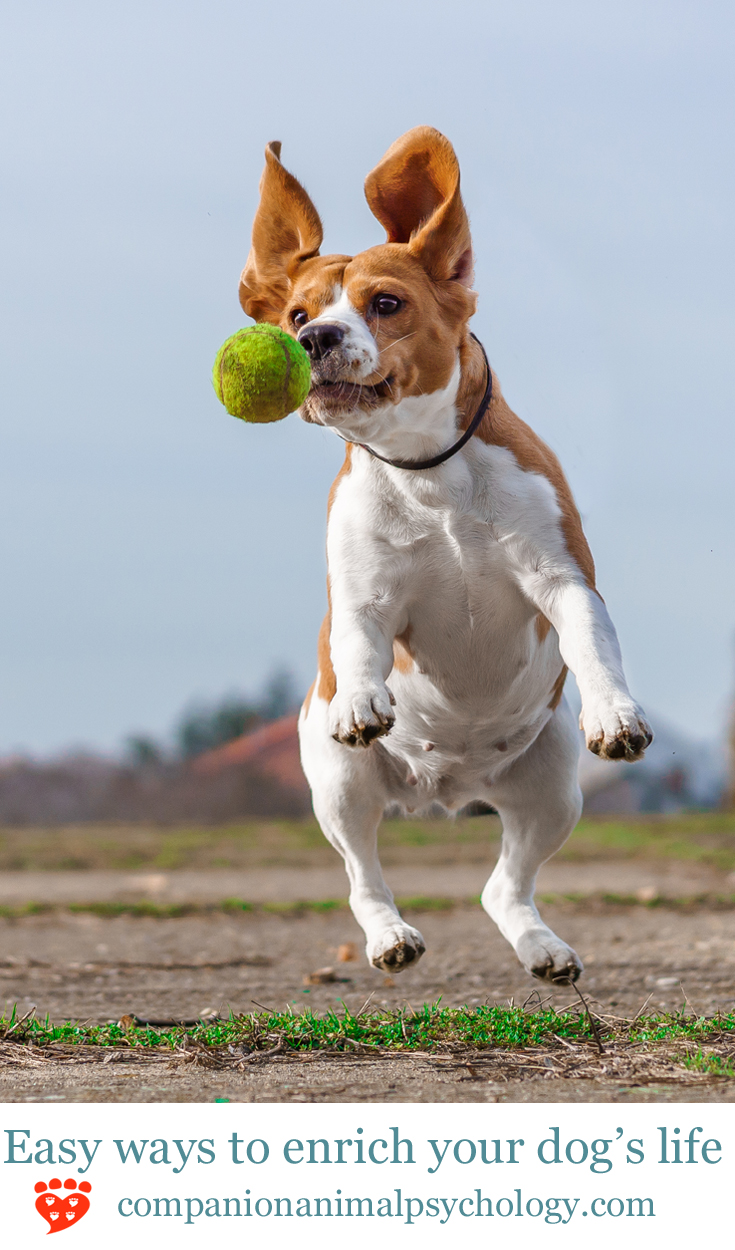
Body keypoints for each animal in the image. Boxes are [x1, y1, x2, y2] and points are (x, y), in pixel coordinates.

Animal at [236, 126, 650, 985]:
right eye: (296, 312)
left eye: (386, 303)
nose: (313, 338)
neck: (425, 469)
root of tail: (445, 791)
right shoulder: (362, 596)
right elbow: (359, 639)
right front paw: (364, 696)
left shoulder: (561, 579)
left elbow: (590, 642)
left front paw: (614, 711)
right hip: (340, 787)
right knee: (362, 876)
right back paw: (389, 936)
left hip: (552, 788)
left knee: (504, 886)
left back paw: (542, 948)